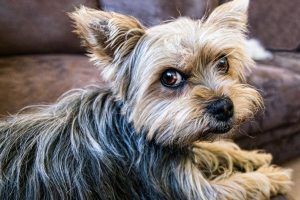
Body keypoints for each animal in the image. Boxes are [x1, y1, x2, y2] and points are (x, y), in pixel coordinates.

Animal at [0, 0, 292, 199]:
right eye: (169, 77)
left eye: (223, 63)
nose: (224, 107)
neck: (135, 127)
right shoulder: (182, 187)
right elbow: (244, 184)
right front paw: (274, 175)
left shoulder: (175, 136)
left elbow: (215, 147)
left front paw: (250, 156)